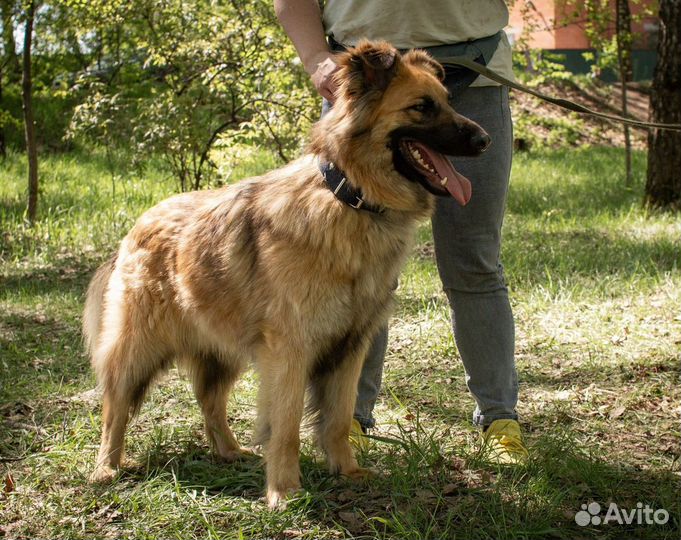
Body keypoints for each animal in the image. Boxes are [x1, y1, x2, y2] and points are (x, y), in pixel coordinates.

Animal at [85, 40, 488, 508]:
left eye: (447, 101)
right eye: (422, 107)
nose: (485, 140)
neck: (350, 199)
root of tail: (137, 227)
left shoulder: (351, 346)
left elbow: (337, 418)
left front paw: (346, 471)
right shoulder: (290, 351)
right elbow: (287, 426)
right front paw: (285, 491)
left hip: (221, 348)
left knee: (209, 399)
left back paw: (228, 451)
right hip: (137, 350)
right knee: (115, 407)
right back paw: (105, 468)